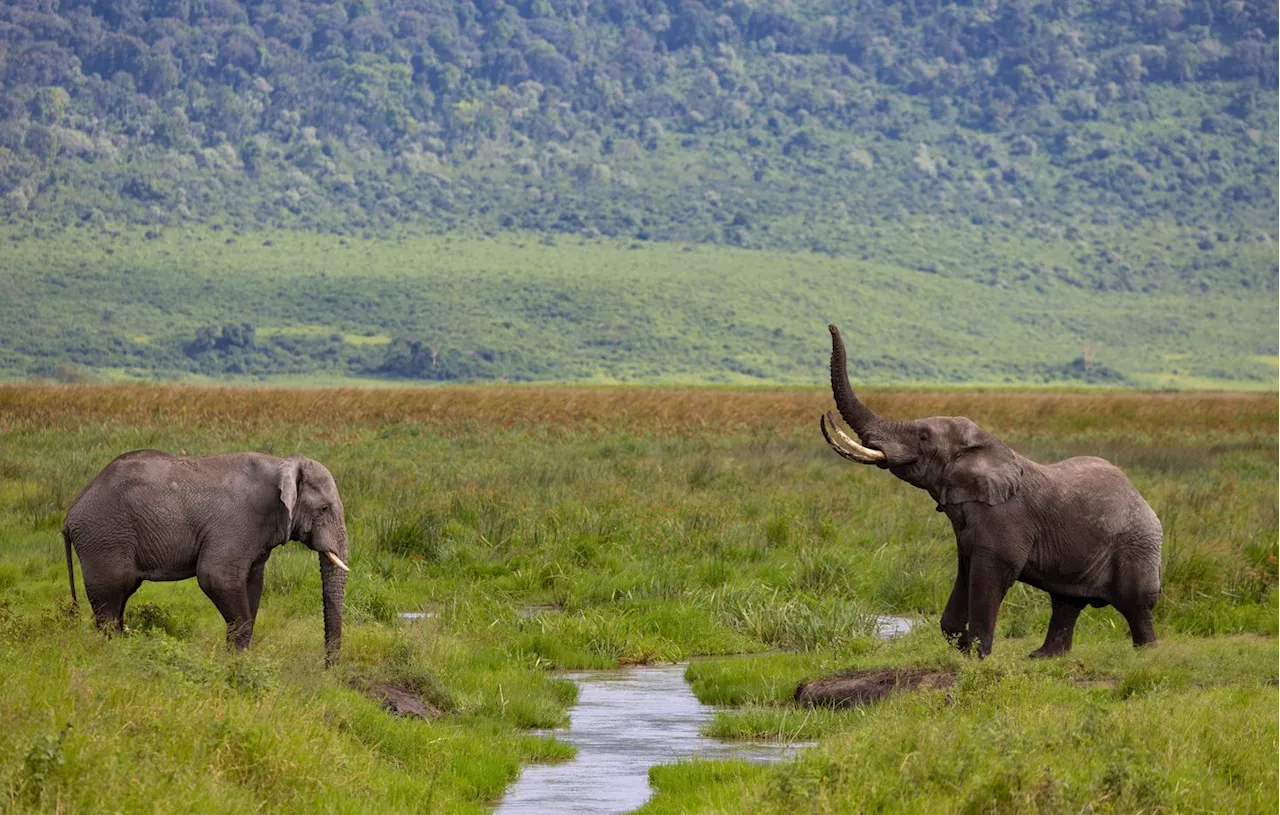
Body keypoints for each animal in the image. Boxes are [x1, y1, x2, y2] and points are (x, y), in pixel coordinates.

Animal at [62, 447, 348, 665]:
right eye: (324, 509)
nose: (328, 668)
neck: (283, 462)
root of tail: (70, 513)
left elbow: (253, 584)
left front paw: (237, 659)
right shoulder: (236, 524)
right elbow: (216, 577)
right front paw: (236, 663)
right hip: (104, 538)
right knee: (110, 601)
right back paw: (115, 655)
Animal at [819, 323, 1162, 655]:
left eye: (924, 437)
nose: (831, 325)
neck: (984, 444)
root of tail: (1144, 501)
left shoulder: (1005, 520)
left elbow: (990, 577)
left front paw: (979, 656)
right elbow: (965, 572)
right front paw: (962, 646)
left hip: (1138, 547)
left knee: (1135, 605)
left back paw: (1146, 654)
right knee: (1066, 603)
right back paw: (1043, 656)